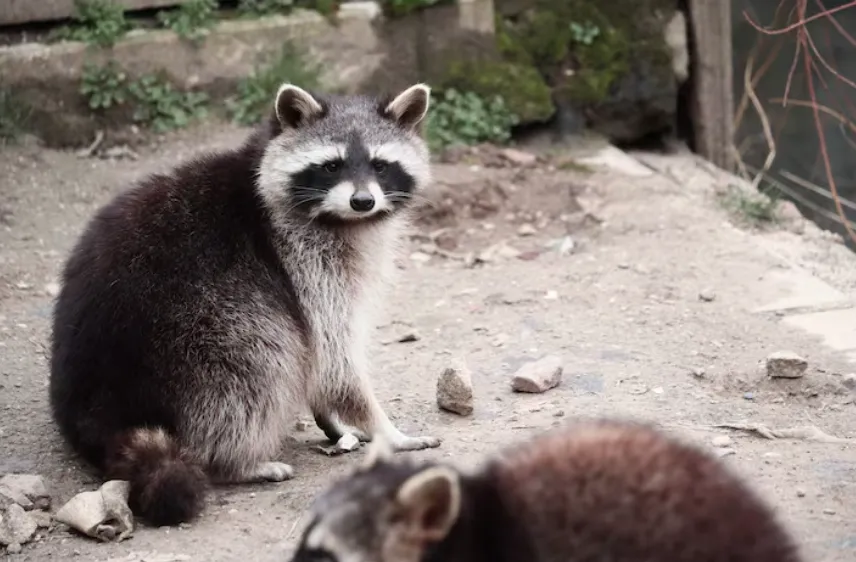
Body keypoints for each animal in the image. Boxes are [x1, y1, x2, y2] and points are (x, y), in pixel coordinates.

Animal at [48, 82, 441, 527]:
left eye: (379, 165)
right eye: (331, 166)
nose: (362, 201)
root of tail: (100, 409)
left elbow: (321, 364)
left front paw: (334, 420)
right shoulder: (304, 261)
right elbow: (334, 360)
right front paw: (387, 430)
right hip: (198, 330)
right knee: (259, 360)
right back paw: (234, 462)